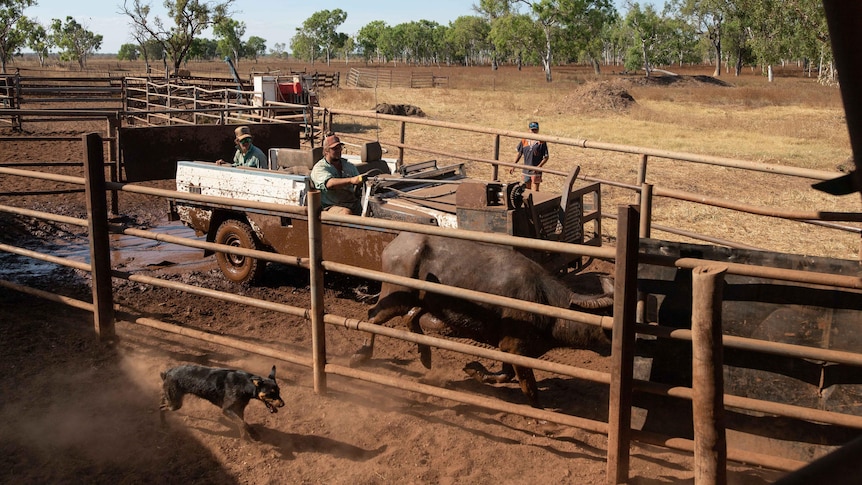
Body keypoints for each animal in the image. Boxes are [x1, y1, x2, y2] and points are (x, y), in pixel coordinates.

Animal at [352, 233, 616, 406]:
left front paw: (473, 369)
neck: (546, 303)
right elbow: (529, 389)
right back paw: (361, 355)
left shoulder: (508, 349)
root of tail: (395, 244)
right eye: (607, 317)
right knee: (372, 316)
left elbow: (505, 374)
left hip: (424, 302)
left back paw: (425, 356)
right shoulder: (515, 348)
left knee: (411, 318)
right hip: (396, 297)